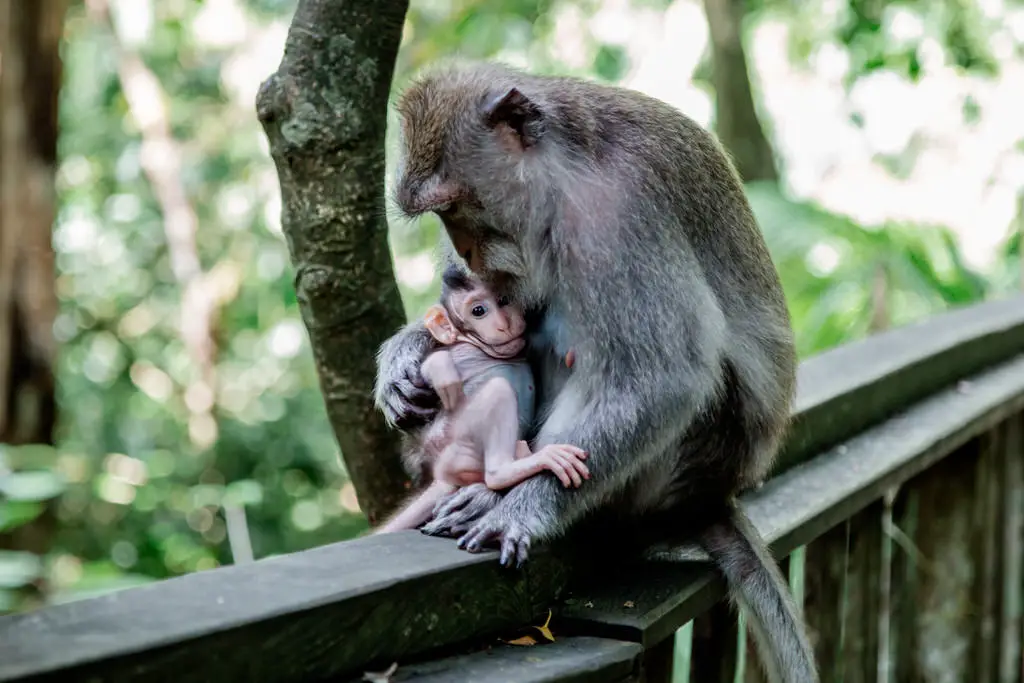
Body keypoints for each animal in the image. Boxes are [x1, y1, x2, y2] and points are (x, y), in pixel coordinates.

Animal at [376, 264, 589, 536]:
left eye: (504, 300)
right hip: (458, 445)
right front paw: (439, 371)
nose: (504, 324)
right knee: (499, 393)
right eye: (478, 311)